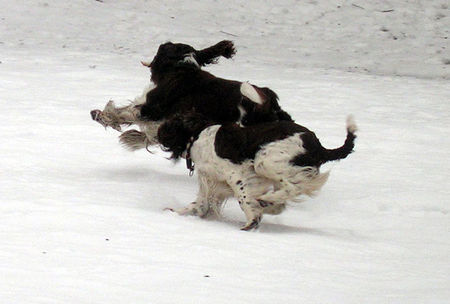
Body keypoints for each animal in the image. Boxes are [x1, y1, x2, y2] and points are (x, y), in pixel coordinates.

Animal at [90, 41, 292, 152]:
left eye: (163, 48)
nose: (163, 43)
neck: (182, 66)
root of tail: (272, 106)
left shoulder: (151, 107)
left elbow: (125, 114)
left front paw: (103, 116)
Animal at [158, 112, 358, 230]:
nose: (158, 131)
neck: (197, 135)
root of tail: (319, 147)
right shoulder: (212, 184)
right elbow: (197, 205)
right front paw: (171, 212)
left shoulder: (235, 175)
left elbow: (244, 199)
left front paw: (251, 220)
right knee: (287, 194)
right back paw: (267, 202)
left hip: (264, 161)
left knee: (292, 188)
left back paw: (265, 200)